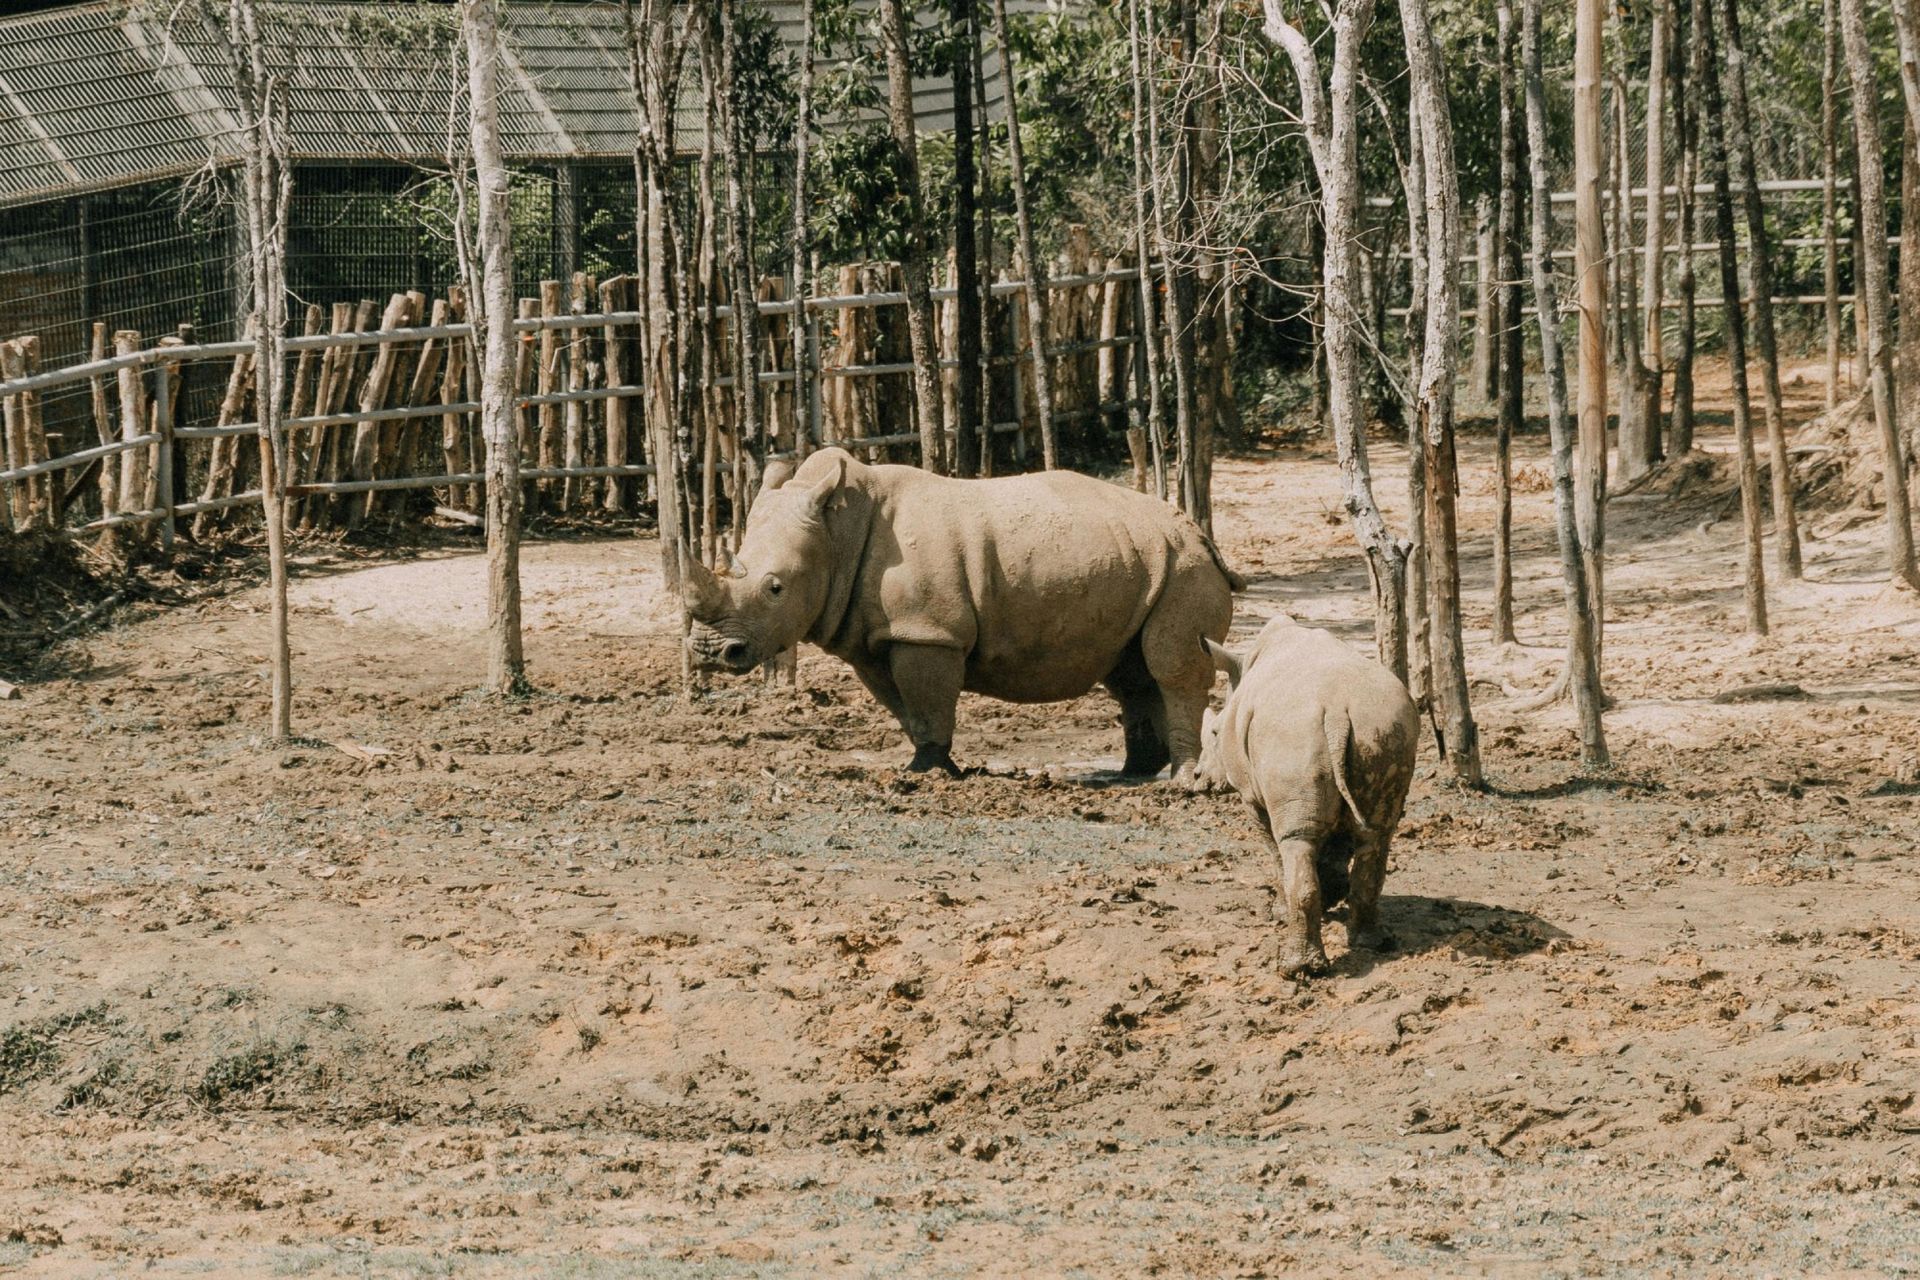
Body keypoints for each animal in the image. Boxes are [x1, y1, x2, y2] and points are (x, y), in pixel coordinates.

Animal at [684, 446, 1239, 781]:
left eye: (775, 588)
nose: (710, 653)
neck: (836, 533)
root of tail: (1200, 535)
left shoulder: (927, 631)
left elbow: (929, 700)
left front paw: (925, 774)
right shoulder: (877, 637)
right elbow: (907, 708)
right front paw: (933, 767)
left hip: (1184, 567)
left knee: (1170, 665)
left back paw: (1180, 781)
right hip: (1146, 564)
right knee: (1130, 671)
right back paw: (1134, 774)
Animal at [1199, 613, 1419, 975]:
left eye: (1215, 733)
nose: (1197, 778)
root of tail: (1338, 712)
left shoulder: (1250, 796)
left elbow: (1274, 849)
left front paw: (1278, 912)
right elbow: (1335, 847)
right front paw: (1333, 894)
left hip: (1293, 734)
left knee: (1295, 841)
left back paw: (1299, 969)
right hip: (1384, 726)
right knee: (1376, 835)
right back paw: (1373, 943)